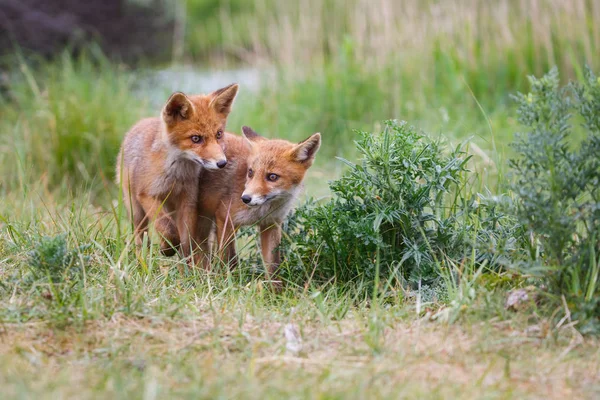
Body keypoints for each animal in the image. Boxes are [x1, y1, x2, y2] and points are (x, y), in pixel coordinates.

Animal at [116, 83, 238, 268]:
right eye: (196, 138)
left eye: (219, 134)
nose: (222, 163)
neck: (176, 176)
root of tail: (140, 123)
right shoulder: (147, 195)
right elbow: (167, 227)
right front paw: (167, 249)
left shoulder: (187, 200)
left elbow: (186, 240)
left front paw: (189, 268)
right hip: (136, 210)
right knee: (141, 237)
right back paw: (141, 261)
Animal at [197, 125, 322, 278]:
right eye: (251, 172)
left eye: (272, 177)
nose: (245, 198)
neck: (262, 211)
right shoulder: (224, 218)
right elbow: (228, 259)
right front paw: (227, 280)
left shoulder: (271, 224)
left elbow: (273, 267)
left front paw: (273, 286)